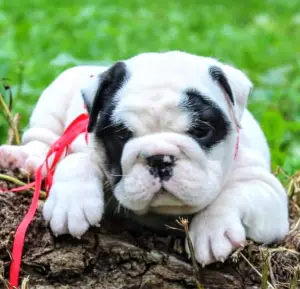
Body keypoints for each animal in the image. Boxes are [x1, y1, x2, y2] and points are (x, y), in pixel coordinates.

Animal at [0, 50, 290, 264]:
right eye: (121, 135)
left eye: (201, 130)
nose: (159, 158)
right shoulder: (83, 141)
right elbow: (77, 161)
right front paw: (71, 203)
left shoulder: (268, 193)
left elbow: (233, 194)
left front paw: (212, 229)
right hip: (55, 95)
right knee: (43, 139)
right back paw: (21, 159)